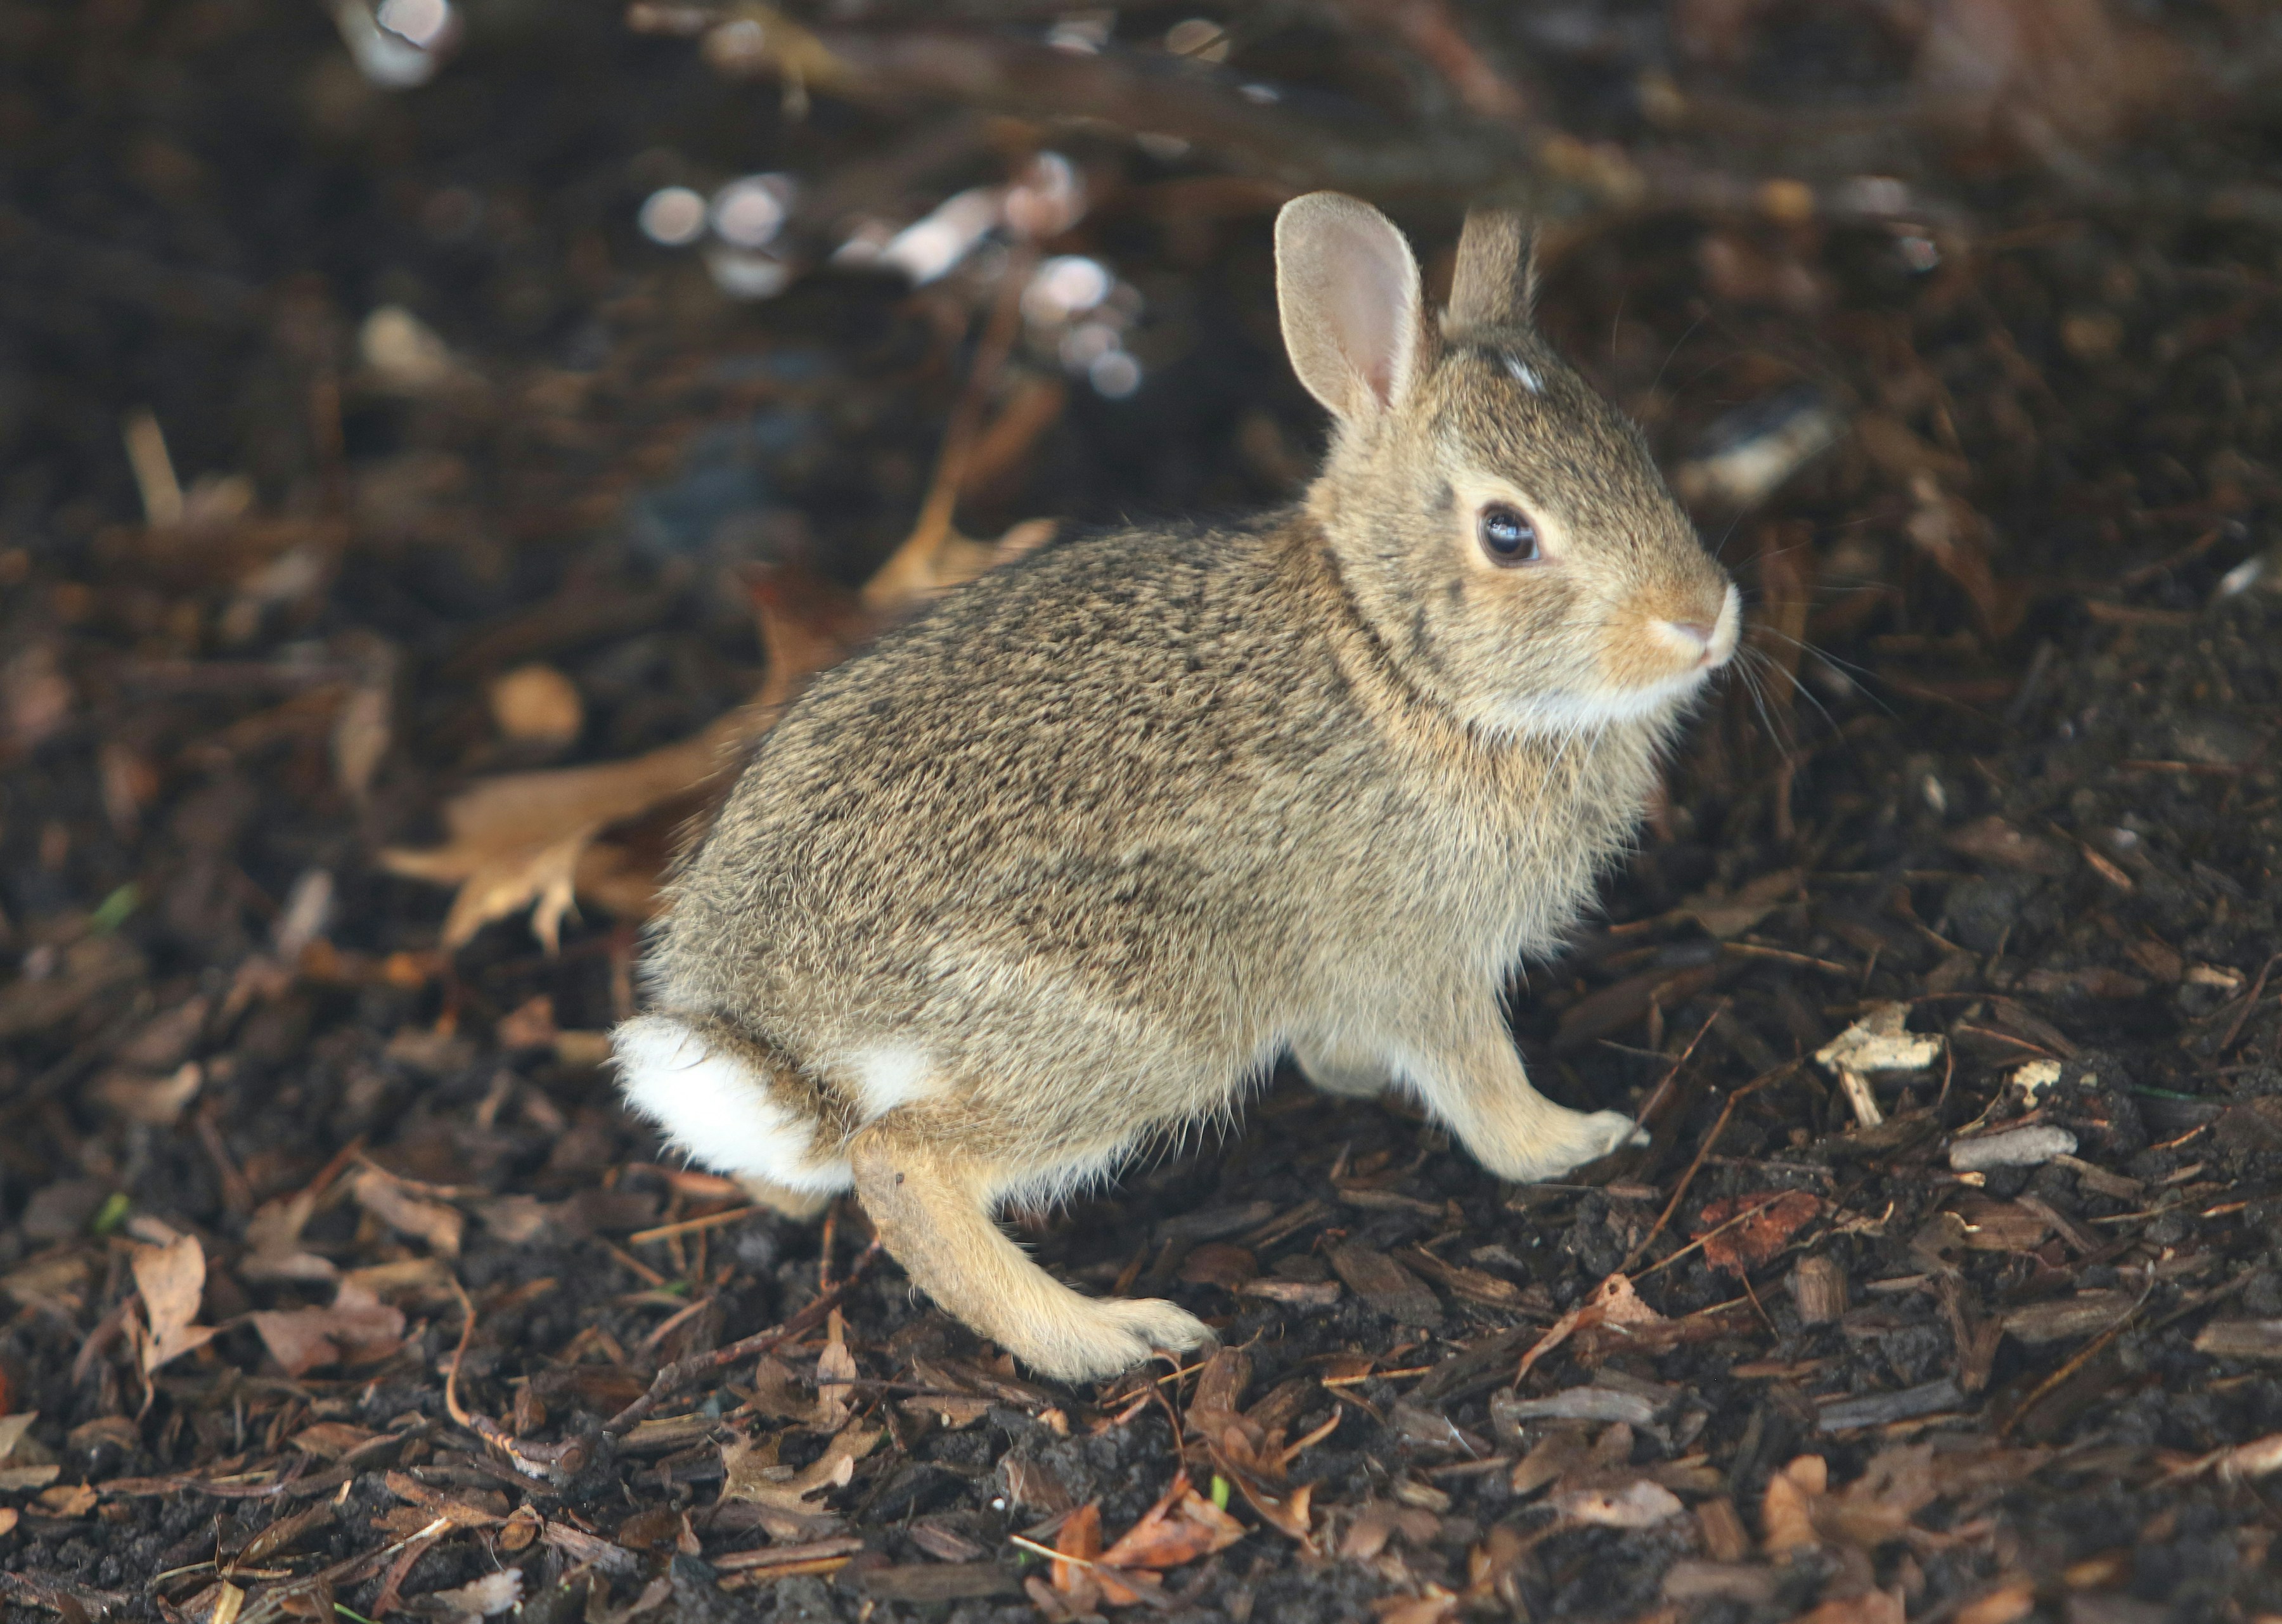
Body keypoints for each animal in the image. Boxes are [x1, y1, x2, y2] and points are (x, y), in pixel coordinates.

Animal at [613, 193, 1741, 1383]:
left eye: (1634, 447)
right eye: (1509, 532)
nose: (1706, 617)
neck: (1394, 659)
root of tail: (774, 1036)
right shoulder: (1421, 957)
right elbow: (1479, 1082)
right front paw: (1576, 1139)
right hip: (1149, 1007)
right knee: (902, 1162)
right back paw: (1110, 1335)